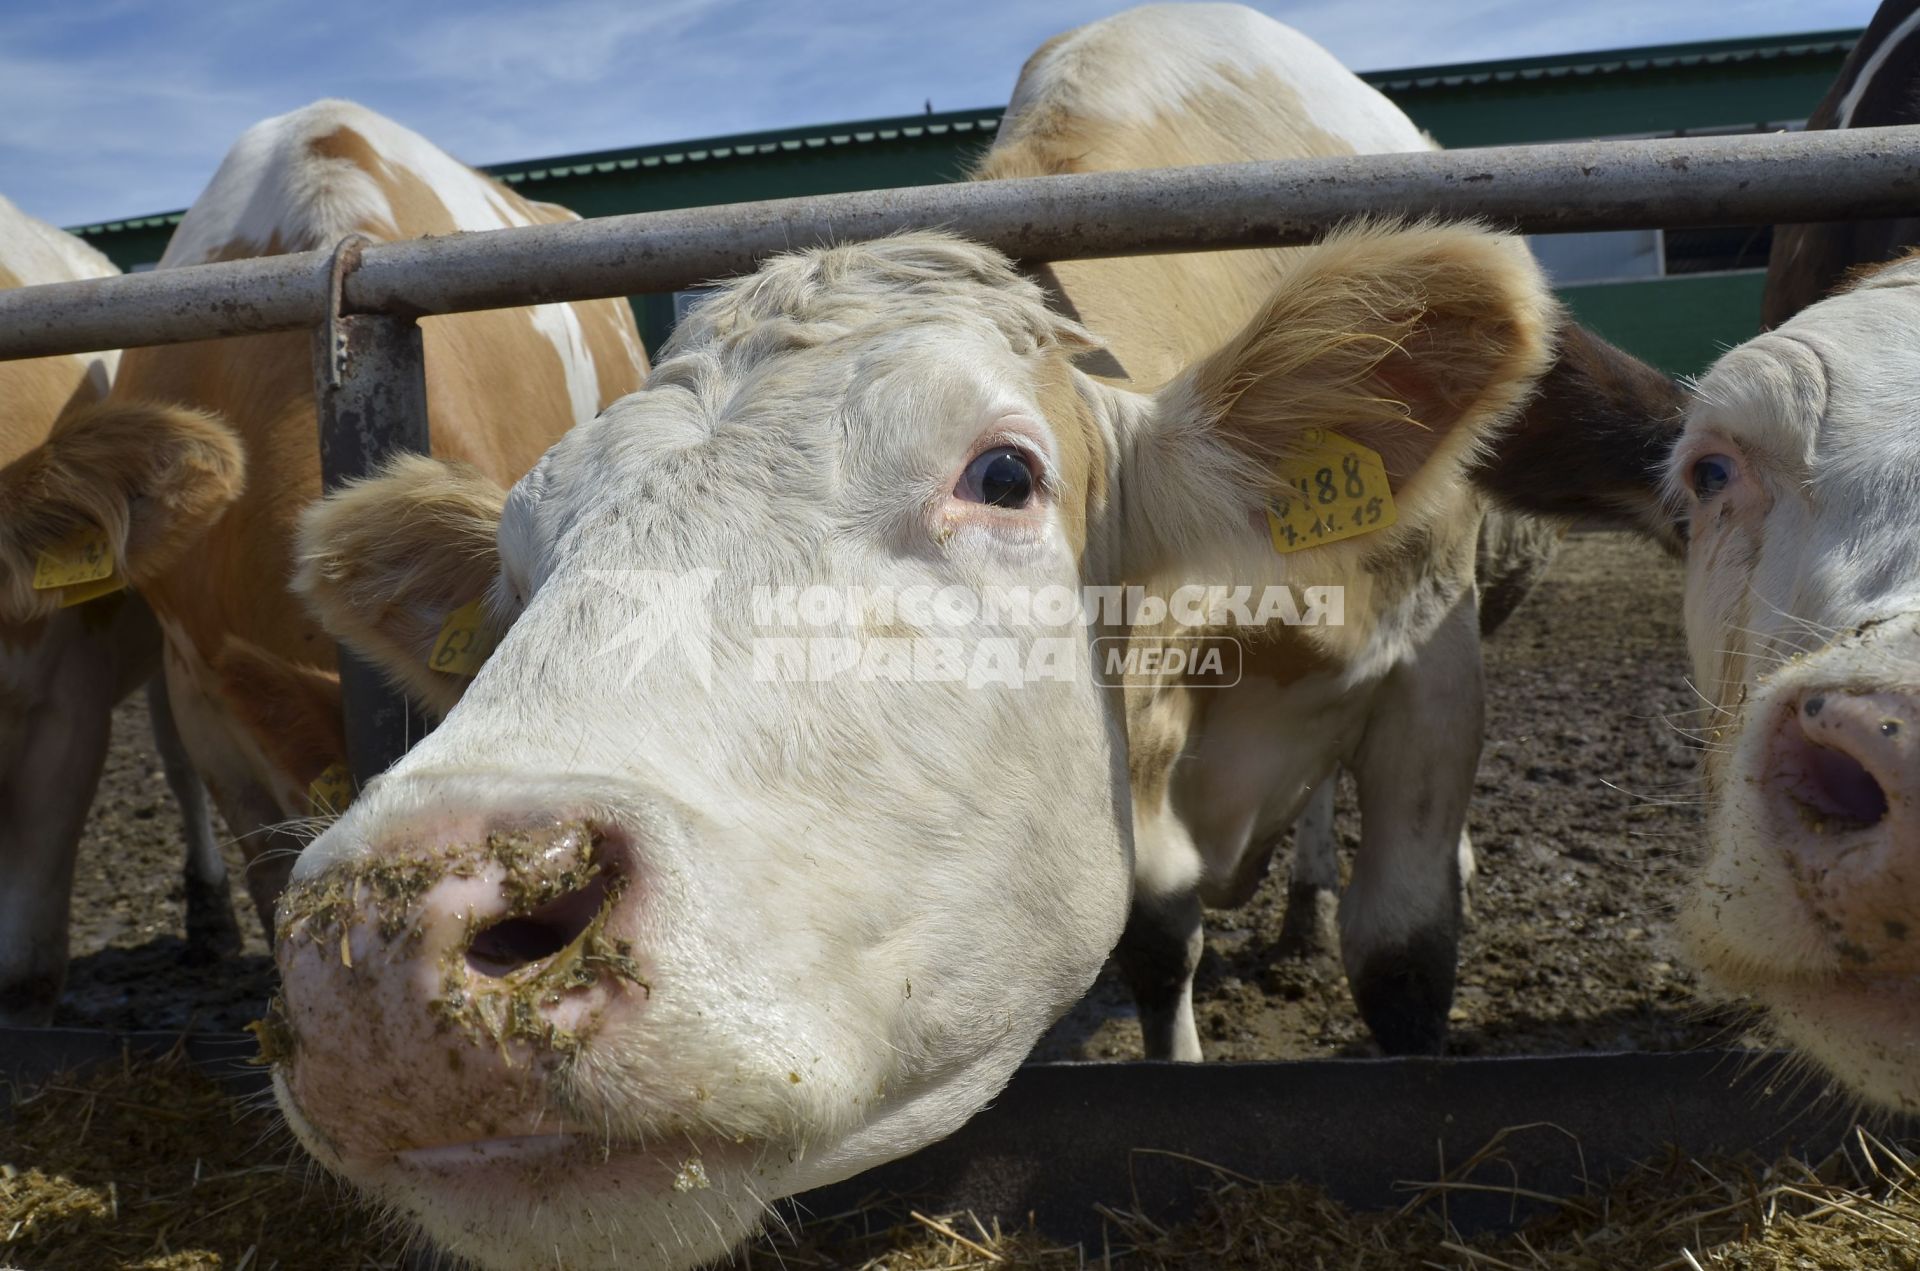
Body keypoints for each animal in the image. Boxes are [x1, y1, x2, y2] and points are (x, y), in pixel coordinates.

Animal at [266, 17, 1559, 1271]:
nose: (383, 935)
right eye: (520, 570)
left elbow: (1402, 954)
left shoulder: (1433, 656)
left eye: (1005, 475)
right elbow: (1157, 945)